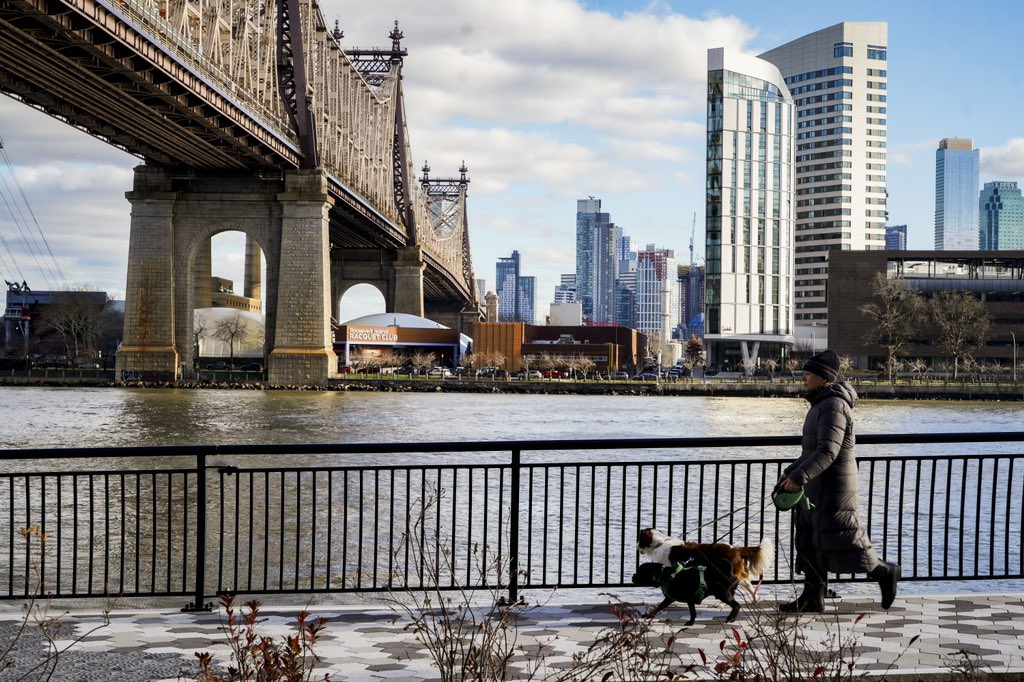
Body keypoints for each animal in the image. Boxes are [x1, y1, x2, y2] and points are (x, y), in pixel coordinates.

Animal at [634, 524, 770, 602]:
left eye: (639, 539)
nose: (636, 545)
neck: (659, 544)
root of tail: (735, 549)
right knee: (749, 586)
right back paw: (756, 599)